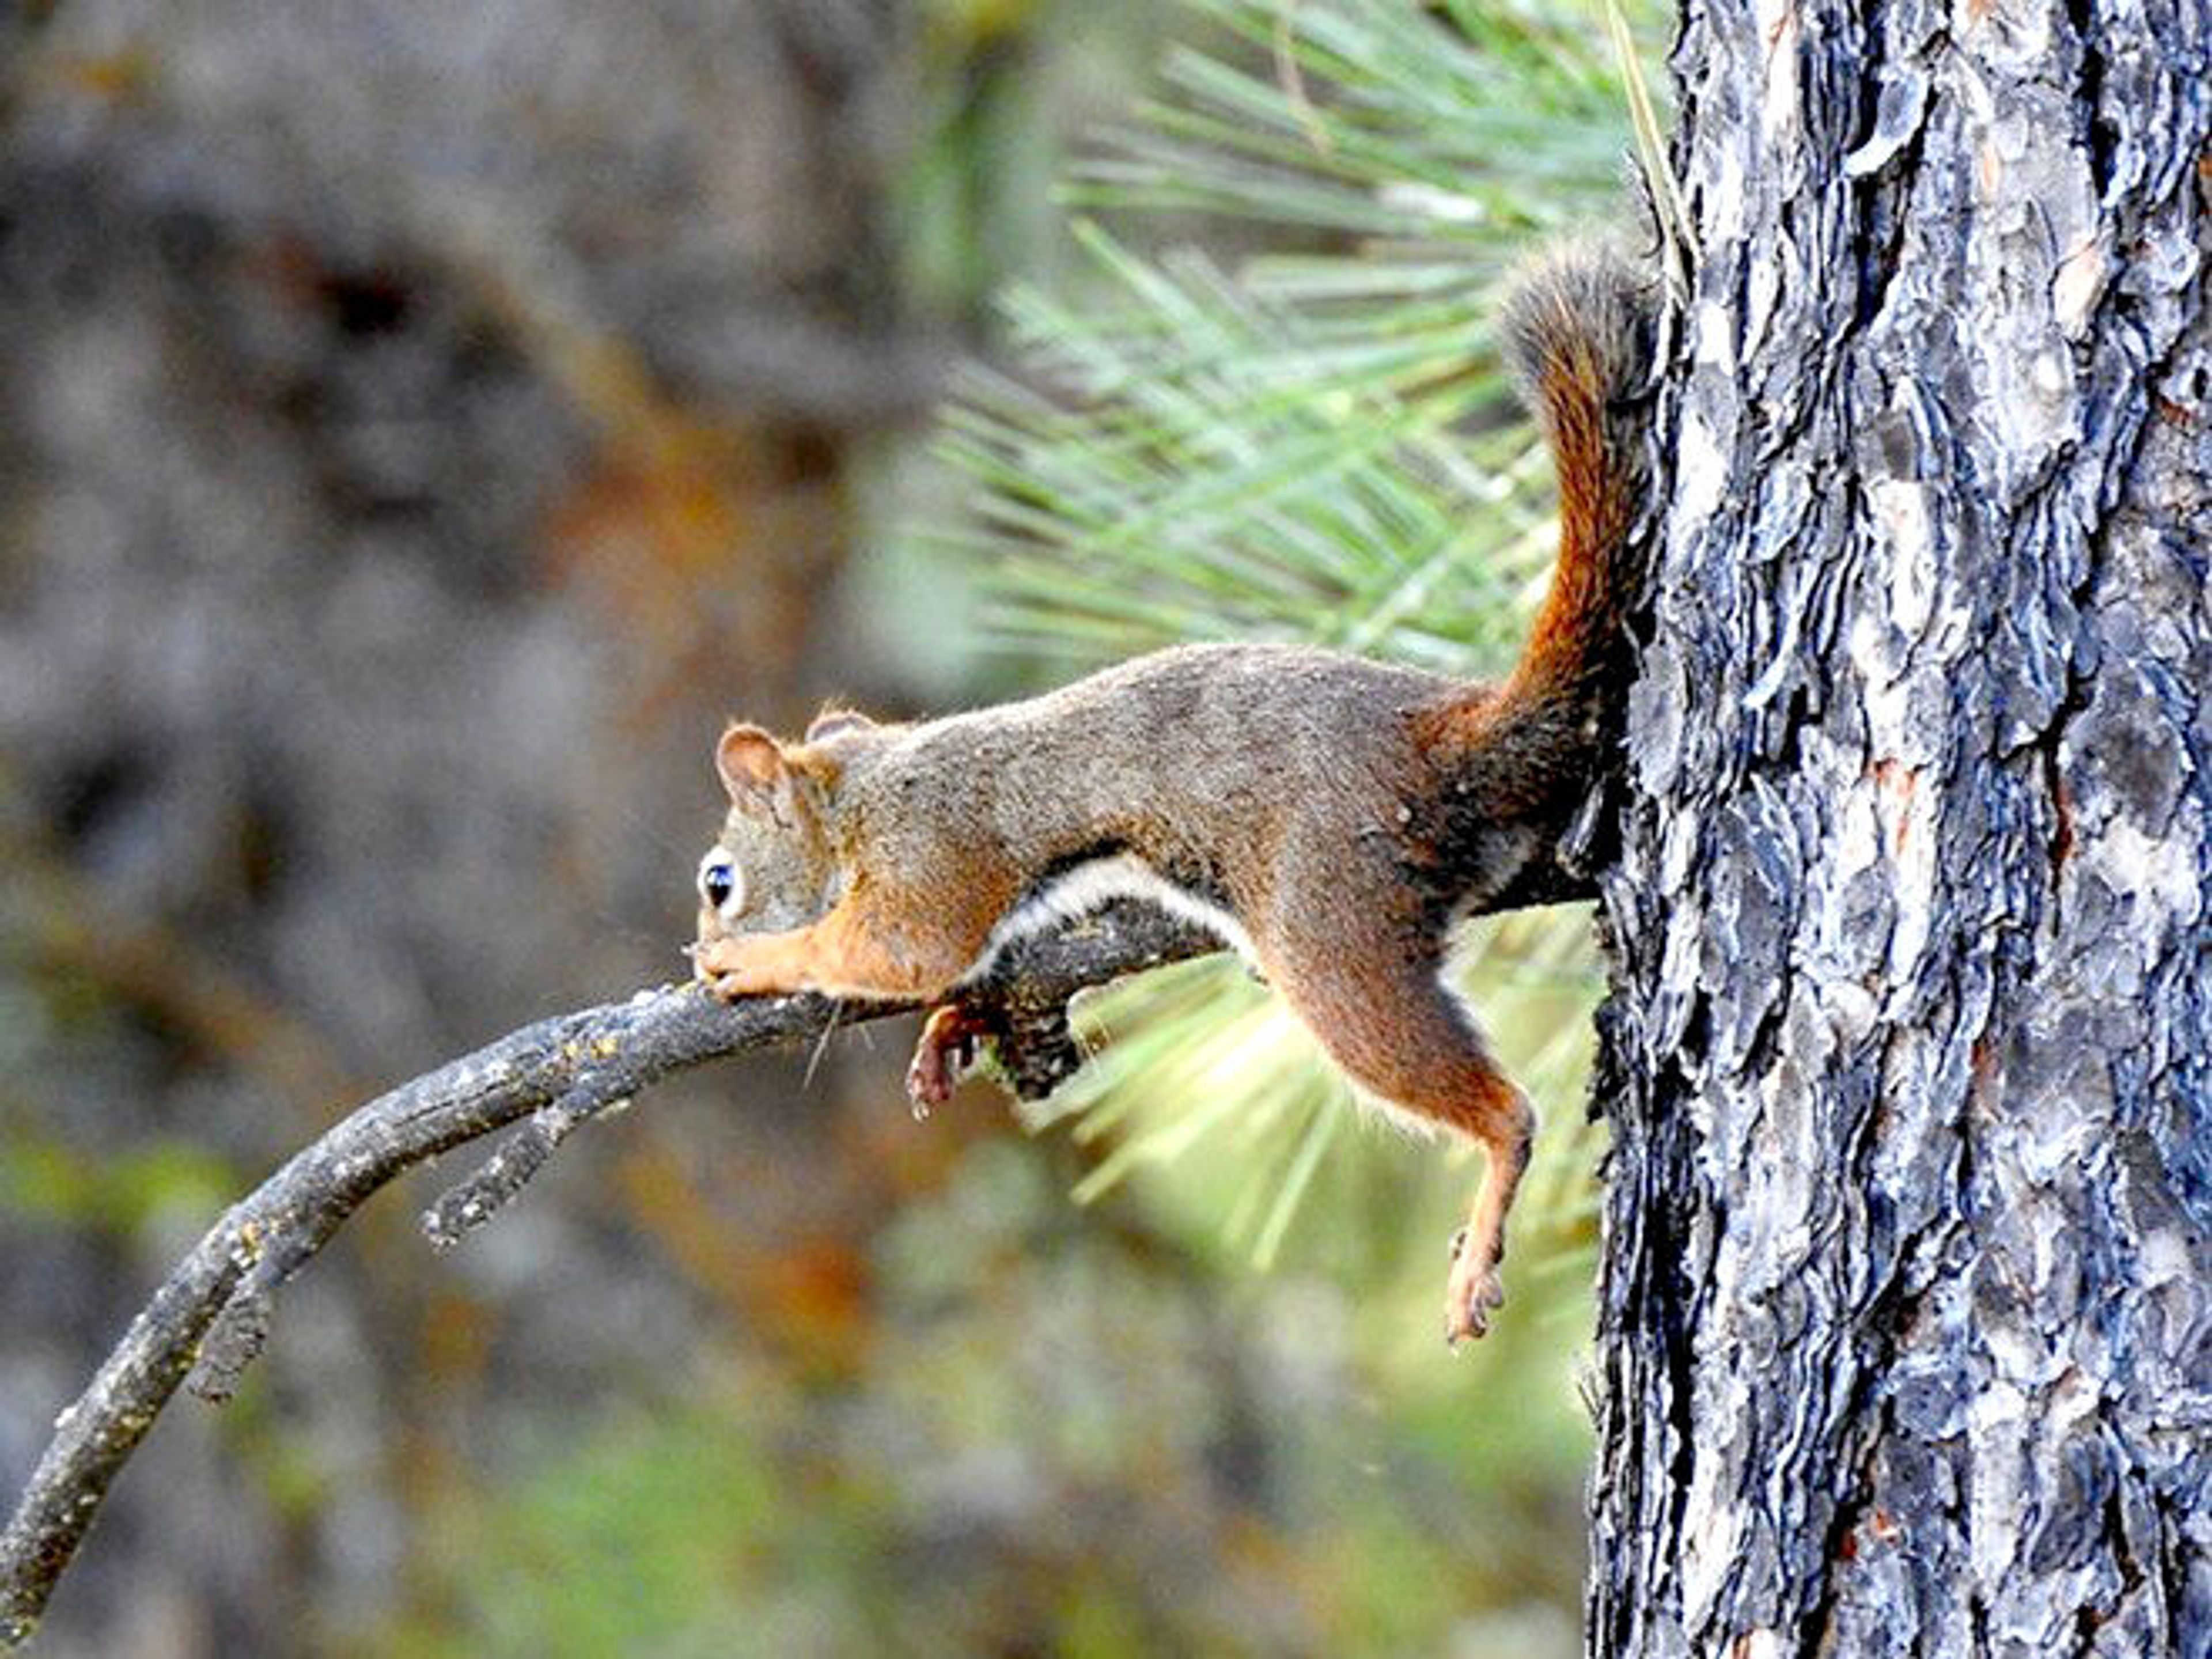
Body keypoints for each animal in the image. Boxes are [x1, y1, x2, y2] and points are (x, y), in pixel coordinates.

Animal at [681, 243, 1654, 1354]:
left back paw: (1486, 1212)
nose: (703, 935)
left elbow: (900, 950)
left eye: (718, 881)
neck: (863, 796)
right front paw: (948, 1033)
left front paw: (754, 960)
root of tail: (1446, 737)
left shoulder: (933, 849)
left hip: (1332, 925)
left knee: (1497, 1106)